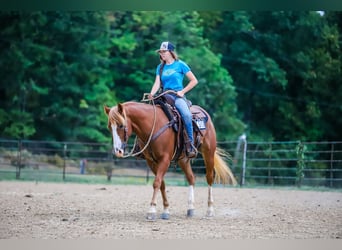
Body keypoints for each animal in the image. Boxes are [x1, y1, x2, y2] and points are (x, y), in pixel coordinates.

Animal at [104, 95, 236, 221]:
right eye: (110, 127)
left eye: (121, 125)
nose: (118, 151)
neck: (153, 126)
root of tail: (203, 112)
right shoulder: (151, 162)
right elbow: (161, 184)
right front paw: (166, 210)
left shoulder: (165, 160)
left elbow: (156, 183)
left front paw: (151, 211)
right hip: (183, 159)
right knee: (191, 178)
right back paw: (190, 208)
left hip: (208, 152)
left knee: (209, 178)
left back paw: (210, 210)